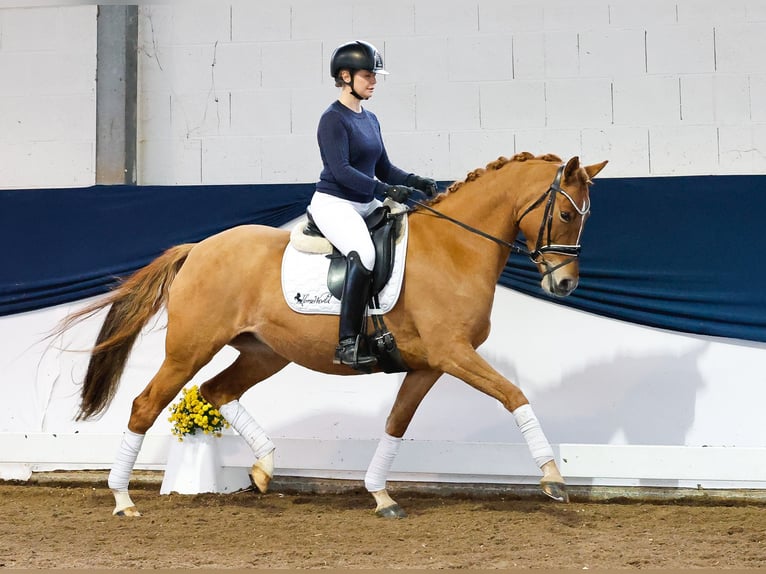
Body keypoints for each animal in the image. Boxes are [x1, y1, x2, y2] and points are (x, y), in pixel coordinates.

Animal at [58, 151, 608, 520]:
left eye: (585, 217)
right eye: (564, 213)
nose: (564, 285)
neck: (455, 247)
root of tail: (198, 248)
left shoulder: (429, 364)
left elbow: (396, 423)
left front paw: (381, 495)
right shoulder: (454, 353)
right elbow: (514, 395)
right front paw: (553, 479)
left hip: (265, 354)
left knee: (217, 391)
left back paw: (263, 469)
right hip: (189, 348)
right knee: (146, 405)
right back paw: (123, 500)